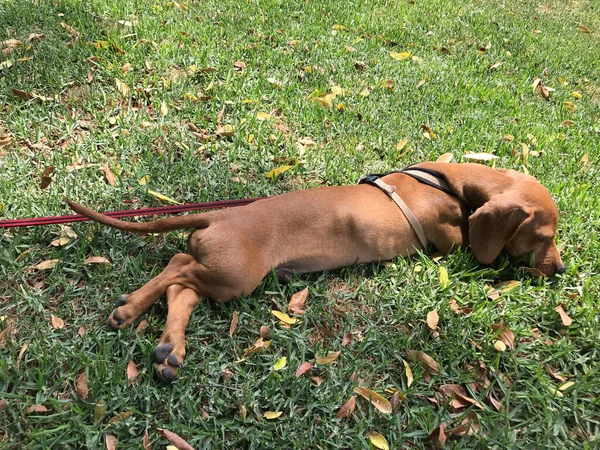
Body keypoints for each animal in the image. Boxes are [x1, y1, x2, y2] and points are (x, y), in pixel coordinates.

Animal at [68, 162, 564, 380]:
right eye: (543, 236)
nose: (559, 269)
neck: (451, 184)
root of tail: (217, 217)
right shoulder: (454, 245)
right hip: (235, 278)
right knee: (176, 270)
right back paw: (131, 308)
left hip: (221, 276)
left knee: (181, 287)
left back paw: (170, 348)